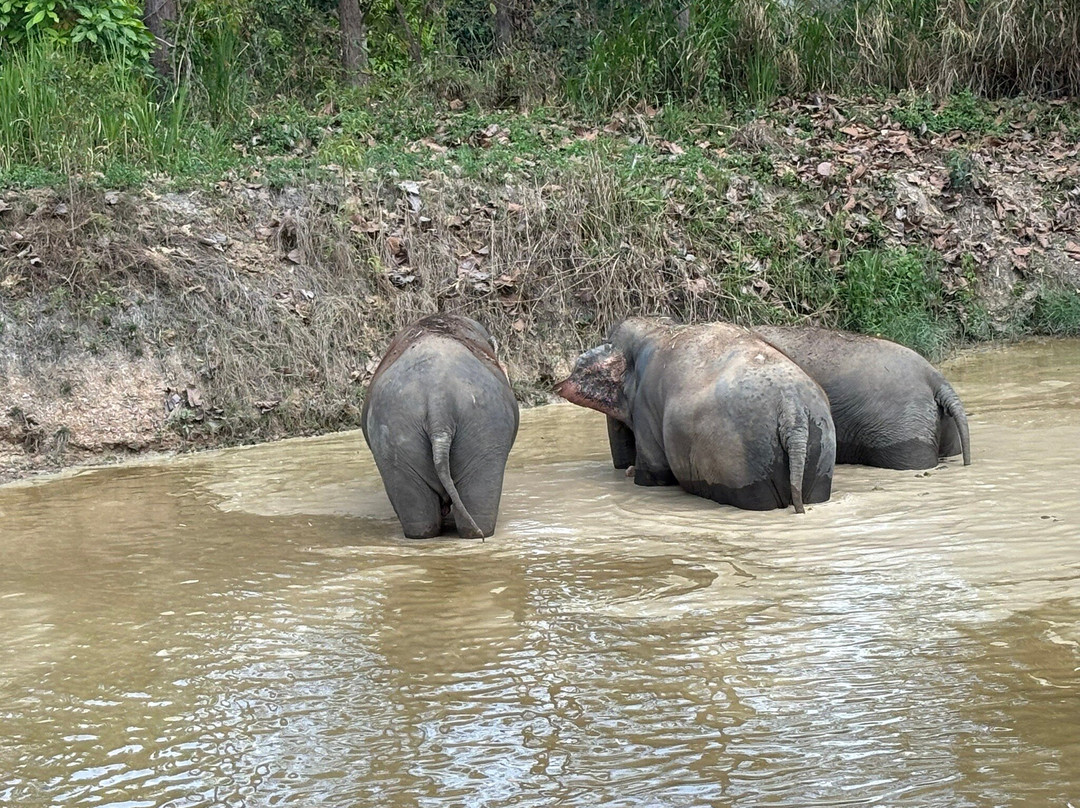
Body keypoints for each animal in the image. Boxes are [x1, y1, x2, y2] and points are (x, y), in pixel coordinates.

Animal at [556, 317, 835, 512]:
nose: (623, 468)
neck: (655, 326)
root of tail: (792, 410)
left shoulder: (645, 406)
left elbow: (655, 474)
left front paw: (635, 473)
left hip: (740, 461)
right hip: (820, 451)